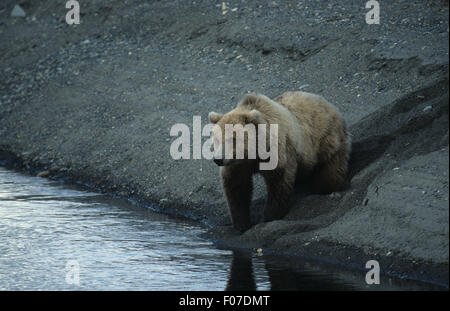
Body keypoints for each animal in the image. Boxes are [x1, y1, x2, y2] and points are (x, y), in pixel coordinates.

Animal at [209, 91, 350, 233]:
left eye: (232, 138)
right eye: (216, 138)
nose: (218, 159)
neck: (254, 153)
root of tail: (330, 105)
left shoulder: (279, 151)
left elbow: (279, 183)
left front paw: (267, 218)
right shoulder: (237, 165)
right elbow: (237, 188)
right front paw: (242, 224)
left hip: (327, 140)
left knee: (330, 172)